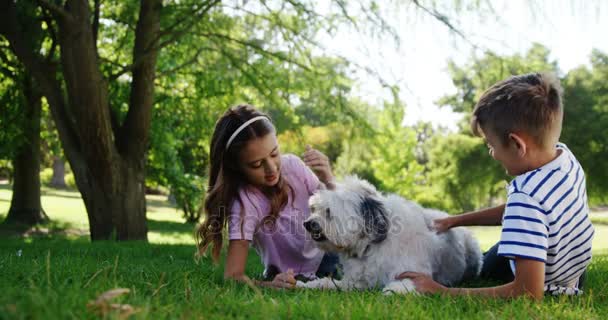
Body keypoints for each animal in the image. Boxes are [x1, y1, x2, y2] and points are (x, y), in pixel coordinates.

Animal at [296, 176, 482, 294]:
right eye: (314, 209)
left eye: (328, 212)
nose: (307, 224)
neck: (371, 245)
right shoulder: (354, 283)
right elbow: (328, 282)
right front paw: (305, 284)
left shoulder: (412, 272)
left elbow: (406, 283)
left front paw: (395, 290)